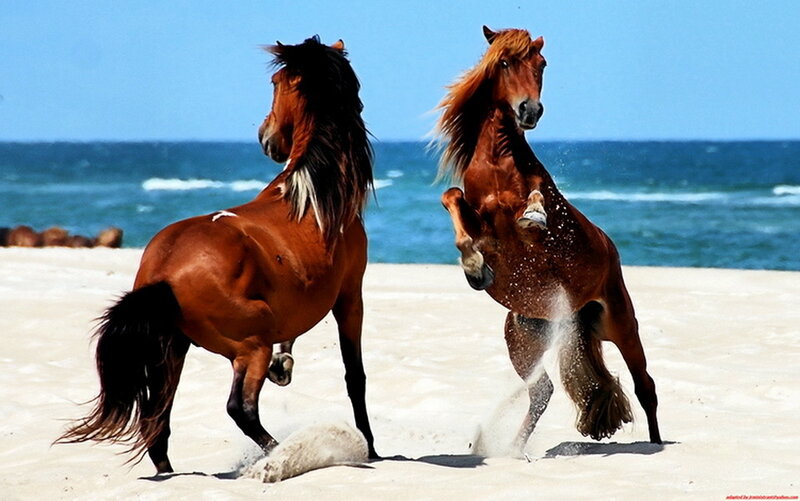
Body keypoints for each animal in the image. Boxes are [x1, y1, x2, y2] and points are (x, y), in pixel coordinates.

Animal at [57, 36, 378, 473]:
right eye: (274, 82)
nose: (265, 136)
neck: (311, 194)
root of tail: (164, 271)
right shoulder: (349, 296)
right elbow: (355, 377)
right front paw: (372, 445)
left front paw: (284, 366)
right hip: (249, 347)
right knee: (239, 409)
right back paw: (278, 453)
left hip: (172, 350)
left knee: (158, 420)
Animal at [436, 26, 661, 450]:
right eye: (504, 62)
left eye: (541, 64)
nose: (530, 111)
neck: (498, 164)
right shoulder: (481, 222)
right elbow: (452, 197)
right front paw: (474, 268)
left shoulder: (542, 236)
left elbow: (535, 206)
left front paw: (534, 216)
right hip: (523, 340)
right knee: (542, 392)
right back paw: (512, 451)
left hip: (621, 326)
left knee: (646, 387)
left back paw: (656, 444)